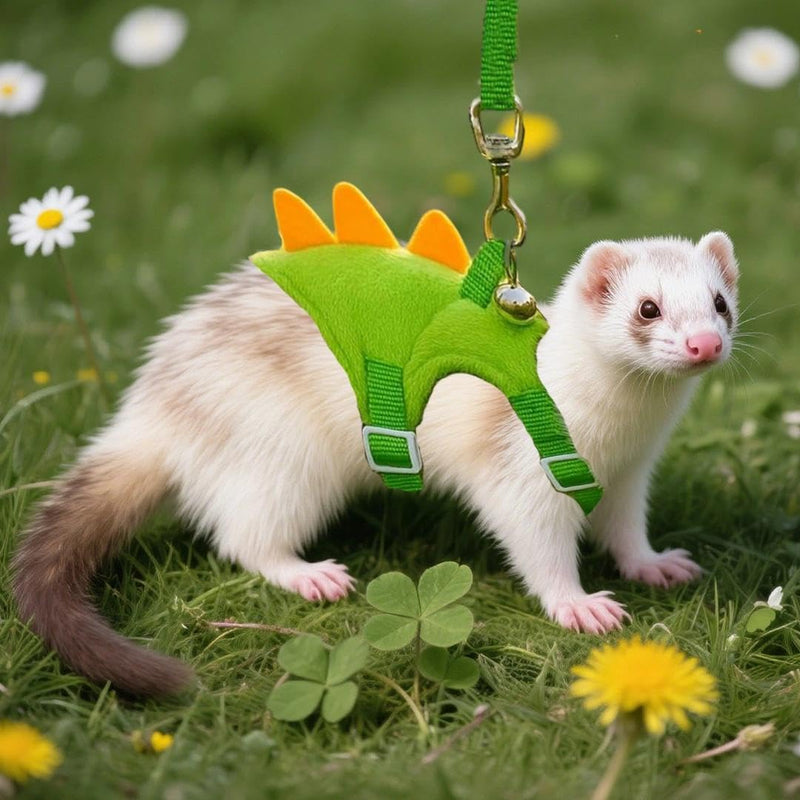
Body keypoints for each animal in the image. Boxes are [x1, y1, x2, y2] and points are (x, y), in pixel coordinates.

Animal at [12, 231, 739, 697]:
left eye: (720, 301)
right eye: (647, 307)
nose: (704, 344)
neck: (617, 432)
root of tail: (153, 403)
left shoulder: (629, 476)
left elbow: (625, 530)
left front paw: (655, 566)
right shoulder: (521, 474)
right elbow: (537, 545)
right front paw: (581, 606)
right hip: (285, 462)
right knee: (243, 535)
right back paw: (309, 575)